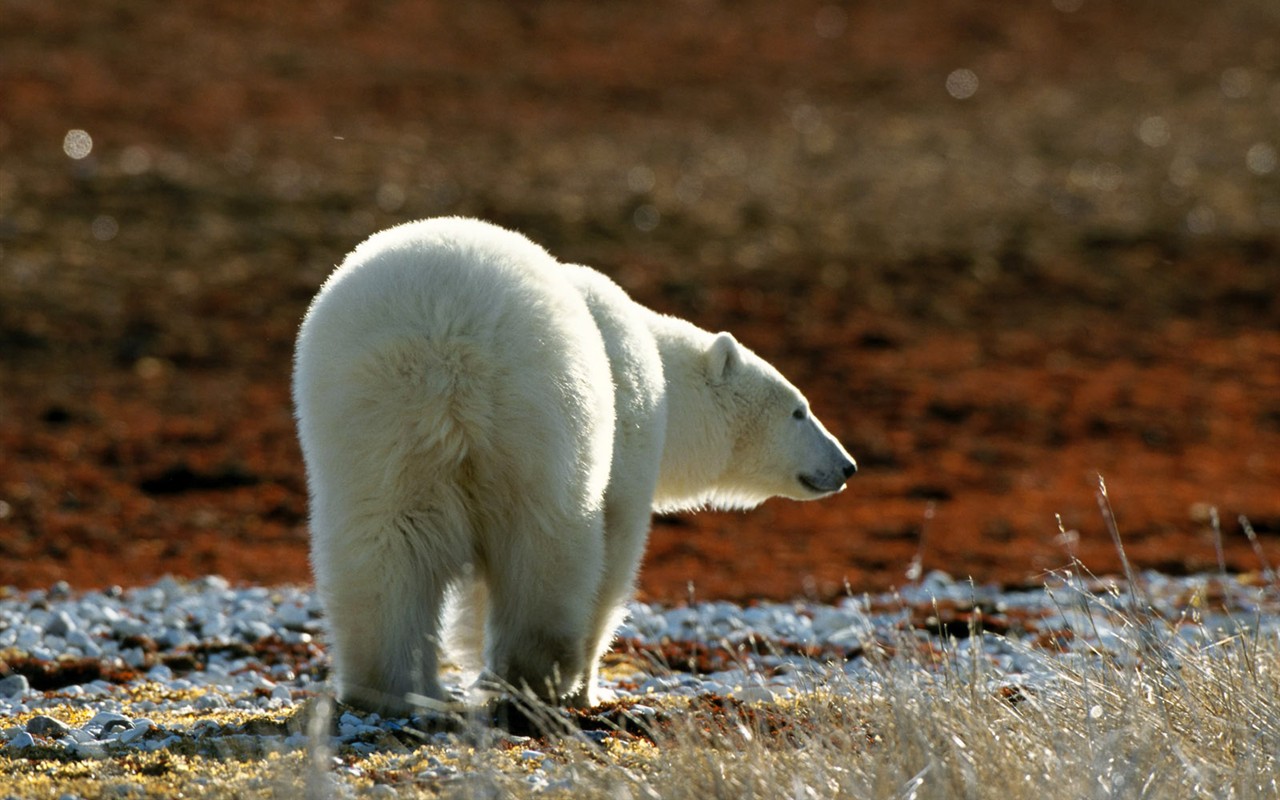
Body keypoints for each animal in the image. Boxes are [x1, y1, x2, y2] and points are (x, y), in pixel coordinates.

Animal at [293, 216, 855, 711]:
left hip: (368, 423)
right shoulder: (629, 431)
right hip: (541, 419)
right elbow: (614, 559)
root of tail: (444, 346)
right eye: (799, 410)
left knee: (380, 546)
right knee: (546, 543)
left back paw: (393, 687)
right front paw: (589, 687)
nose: (846, 466)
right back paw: (538, 679)